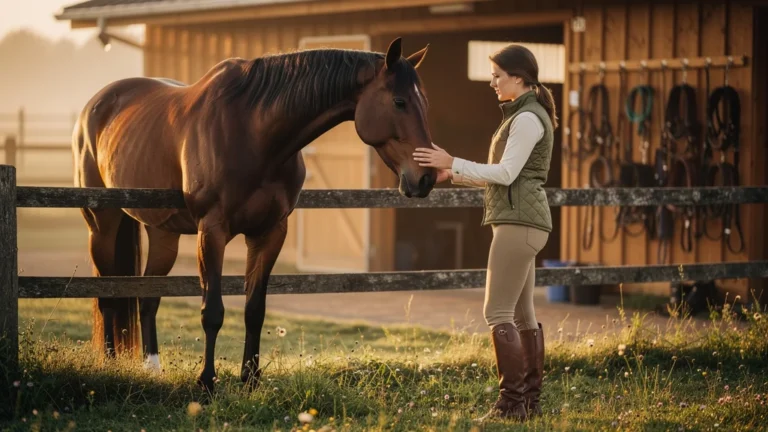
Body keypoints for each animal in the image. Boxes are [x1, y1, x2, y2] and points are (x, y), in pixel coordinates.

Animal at [71, 37, 435, 392]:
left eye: (424, 103)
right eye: (399, 102)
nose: (426, 178)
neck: (253, 131)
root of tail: (97, 105)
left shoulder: (270, 232)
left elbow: (254, 310)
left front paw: (250, 379)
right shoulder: (212, 231)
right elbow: (212, 311)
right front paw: (207, 382)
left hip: (164, 235)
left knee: (148, 299)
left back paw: (152, 367)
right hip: (101, 226)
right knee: (107, 298)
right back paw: (109, 362)